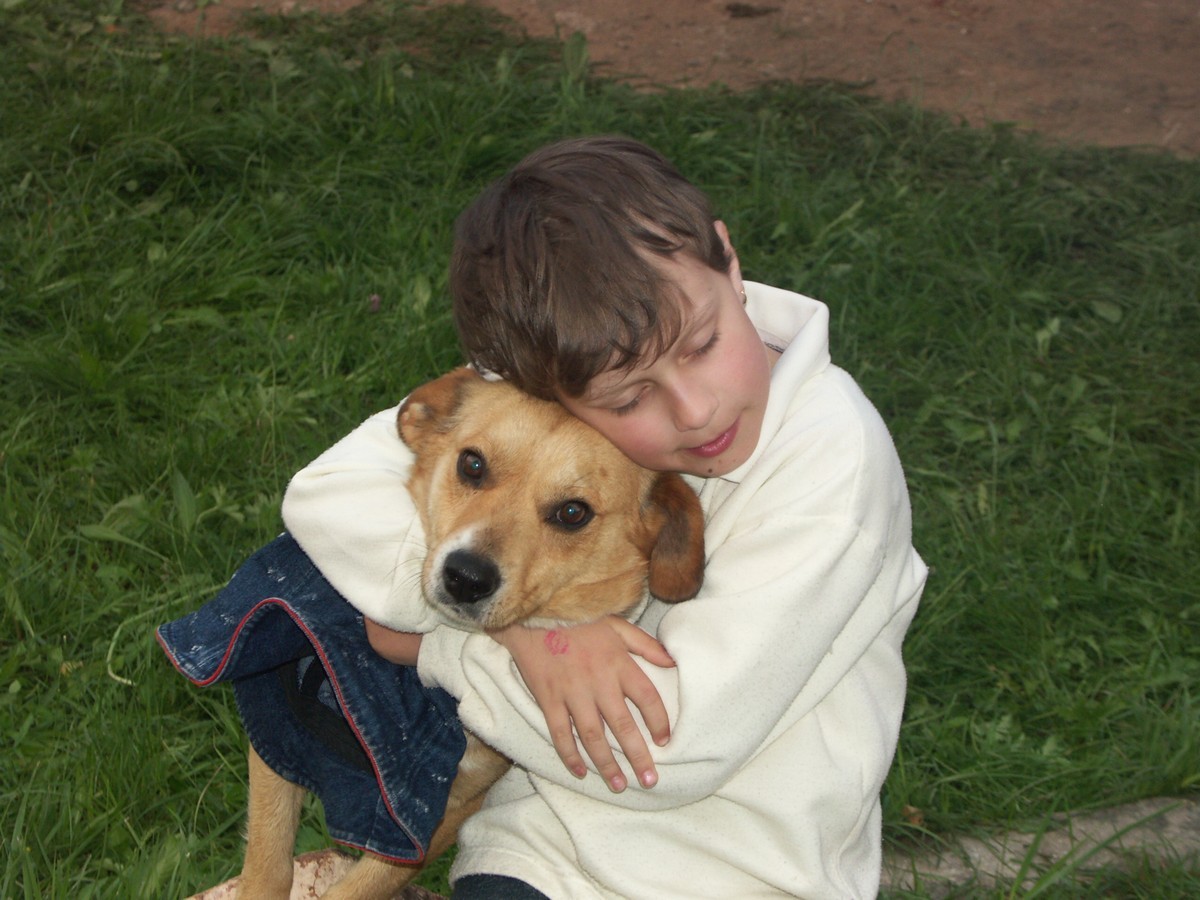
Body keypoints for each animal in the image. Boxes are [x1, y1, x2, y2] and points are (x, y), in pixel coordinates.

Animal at [237, 367, 706, 899]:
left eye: (573, 512)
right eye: (472, 464)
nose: (465, 577)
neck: (413, 695)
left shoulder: (449, 810)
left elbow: (358, 887)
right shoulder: (275, 734)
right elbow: (268, 864)